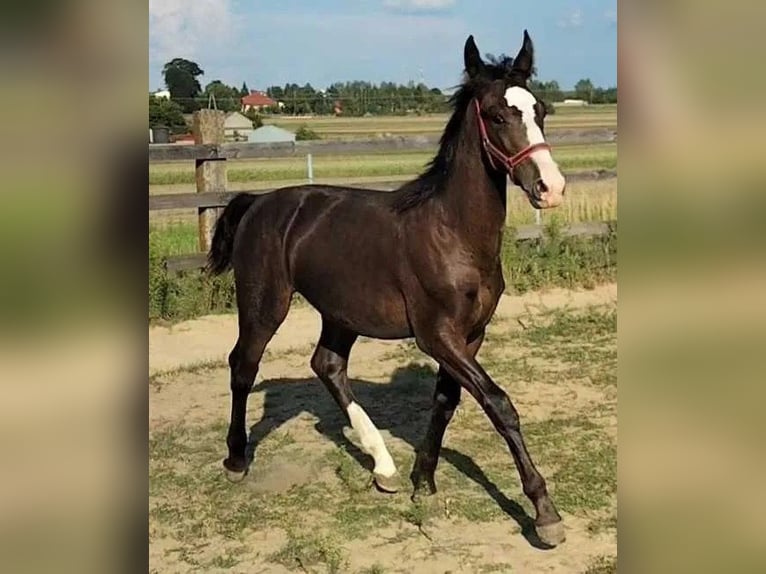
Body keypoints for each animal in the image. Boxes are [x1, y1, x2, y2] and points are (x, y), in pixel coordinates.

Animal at [210, 31, 568, 548]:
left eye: (540, 110)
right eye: (498, 114)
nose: (550, 187)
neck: (452, 231)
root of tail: (258, 203)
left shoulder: (470, 334)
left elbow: (447, 402)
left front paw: (424, 481)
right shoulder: (436, 334)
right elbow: (499, 404)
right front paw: (544, 513)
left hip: (340, 312)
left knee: (327, 365)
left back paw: (384, 467)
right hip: (264, 304)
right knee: (244, 364)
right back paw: (237, 459)